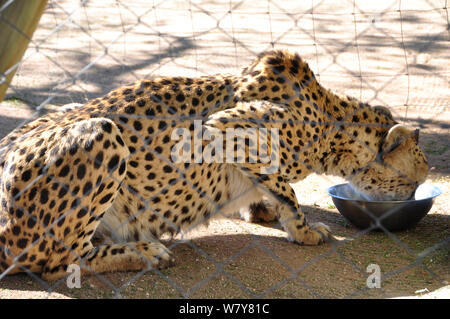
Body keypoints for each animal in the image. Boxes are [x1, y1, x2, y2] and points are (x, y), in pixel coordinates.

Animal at [0, 48, 428, 282]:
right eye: (411, 183)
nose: (410, 200)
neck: (331, 122)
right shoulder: (227, 128)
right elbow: (286, 189)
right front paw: (304, 230)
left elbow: (271, 190)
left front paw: (261, 210)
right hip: (101, 133)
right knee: (59, 264)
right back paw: (143, 252)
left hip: (70, 108)